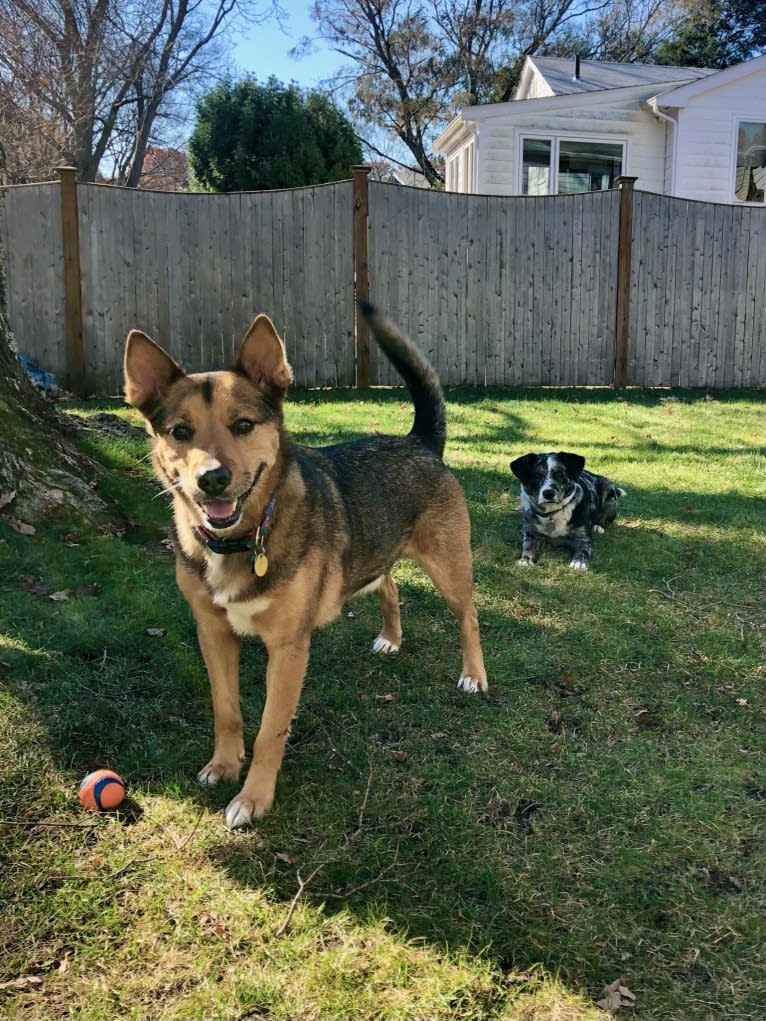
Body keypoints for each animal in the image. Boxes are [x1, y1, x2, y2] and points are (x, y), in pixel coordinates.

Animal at [124, 304, 486, 829]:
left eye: (243, 425)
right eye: (180, 432)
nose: (212, 479)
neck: (242, 541)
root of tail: (417, 442)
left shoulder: (288, 649)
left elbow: (270, 731)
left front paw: (254, 797)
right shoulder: (213, 634)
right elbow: (226, 710)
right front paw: (224, 765)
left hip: (449, 569)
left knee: (469, 618)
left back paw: (474, 675)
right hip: (373, 557)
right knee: (390, 588)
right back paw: (391, 638)